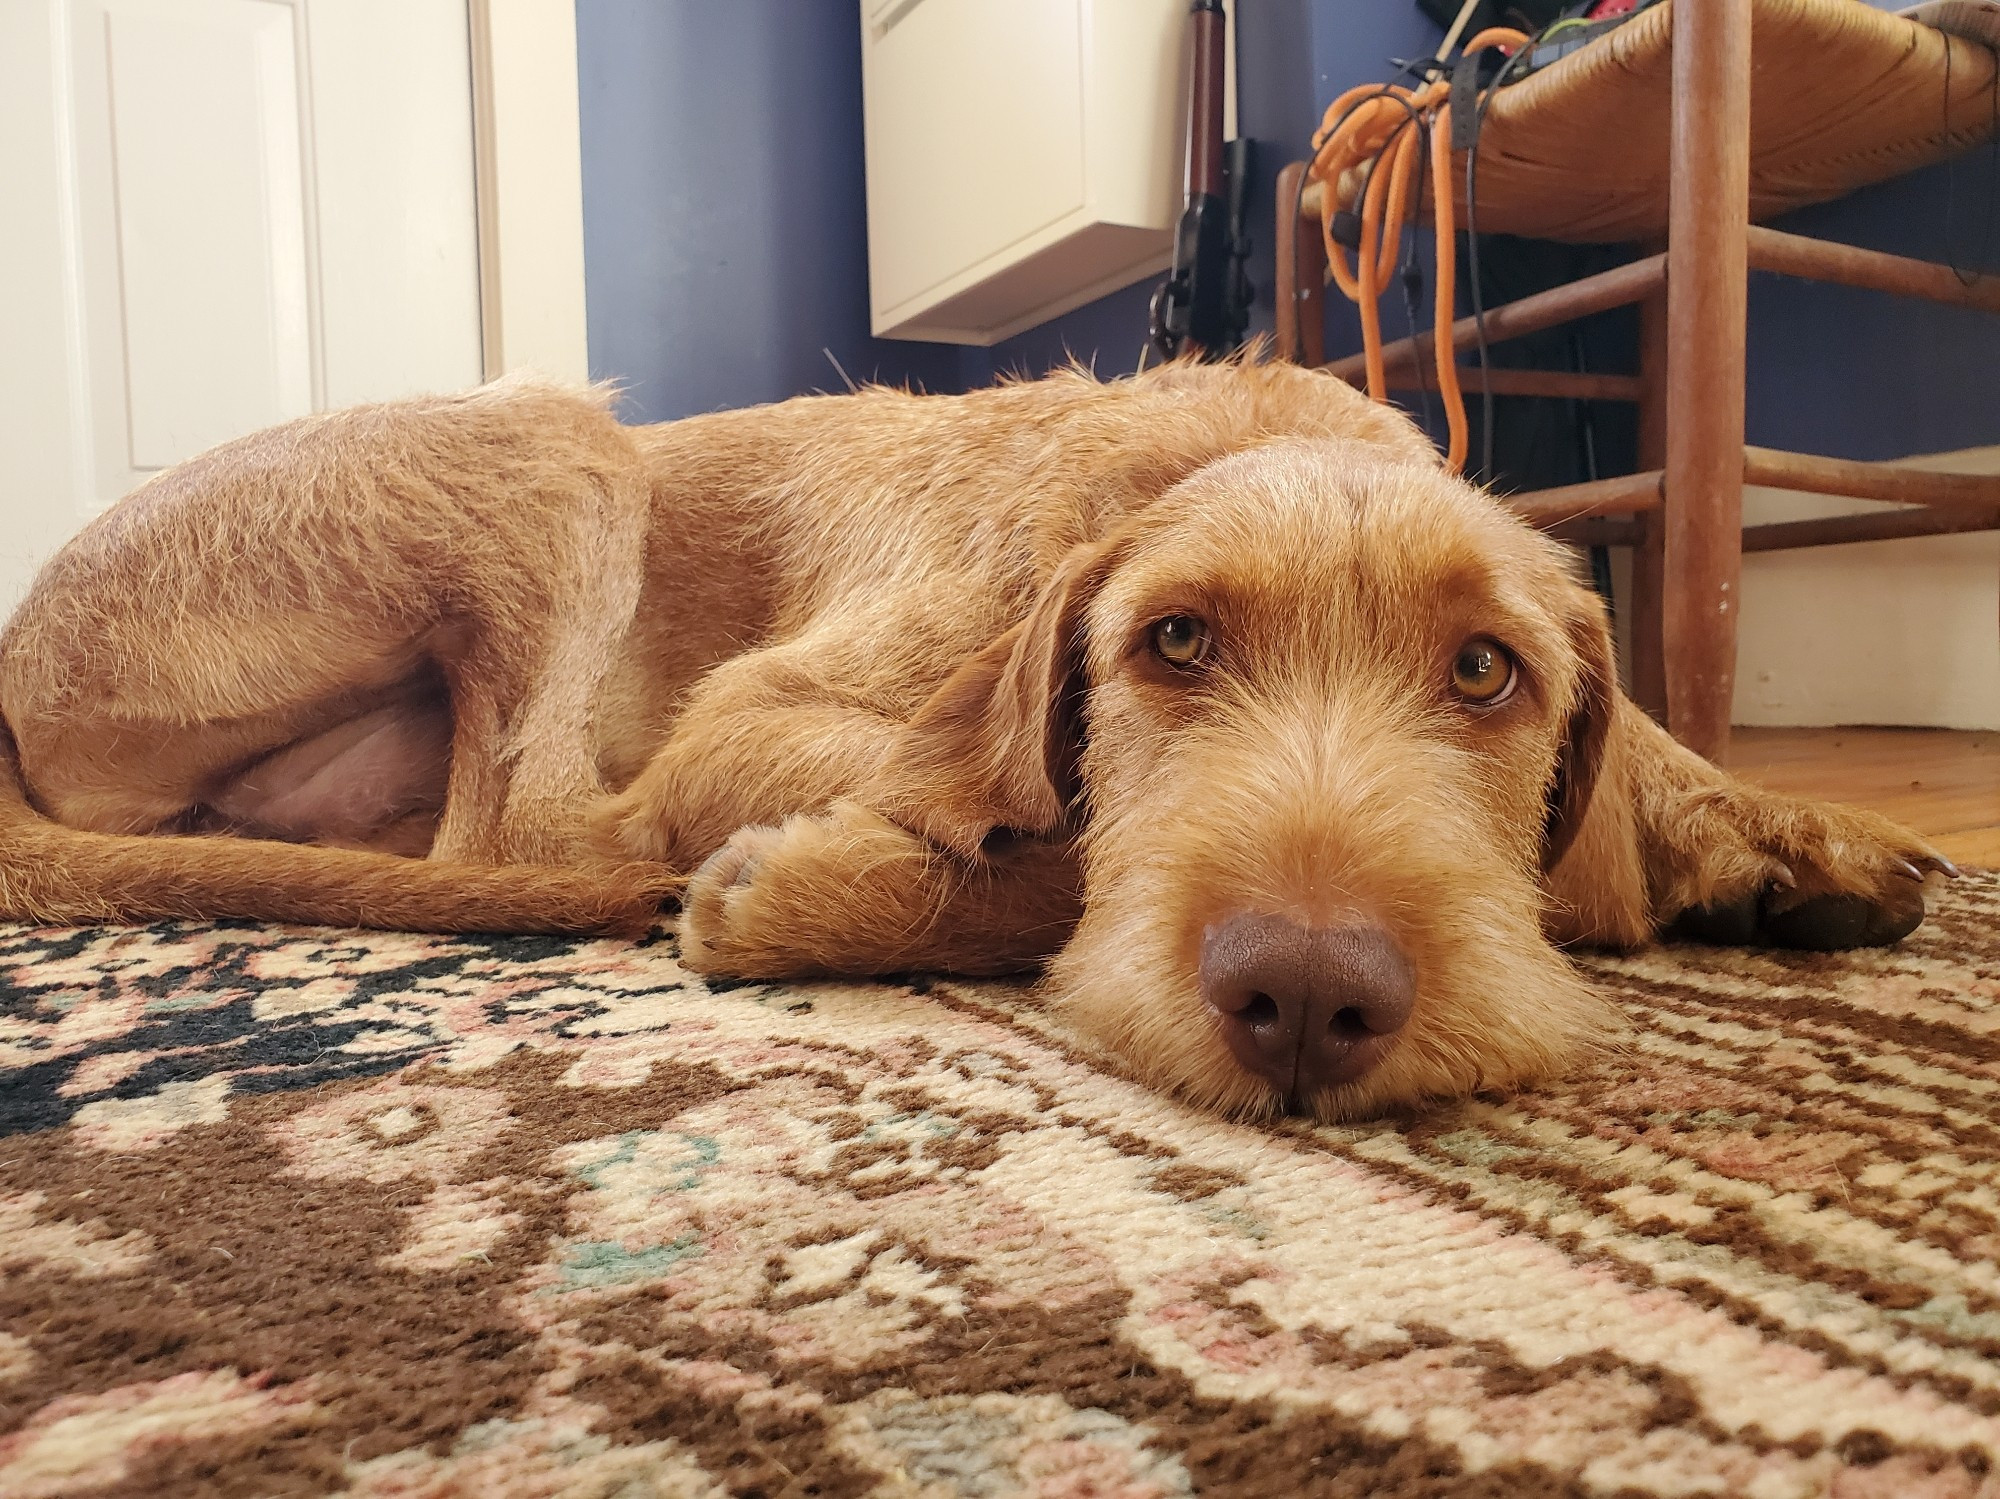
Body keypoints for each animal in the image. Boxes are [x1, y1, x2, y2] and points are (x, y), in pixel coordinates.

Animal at [0, 357, 1944, 1119]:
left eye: (1487, 674)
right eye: (1175, 642)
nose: (1315, 999)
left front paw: (1780, 834)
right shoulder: (743, 724)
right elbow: (1057, 842)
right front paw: (807, 892)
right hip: (557, 445)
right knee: (540, 831)